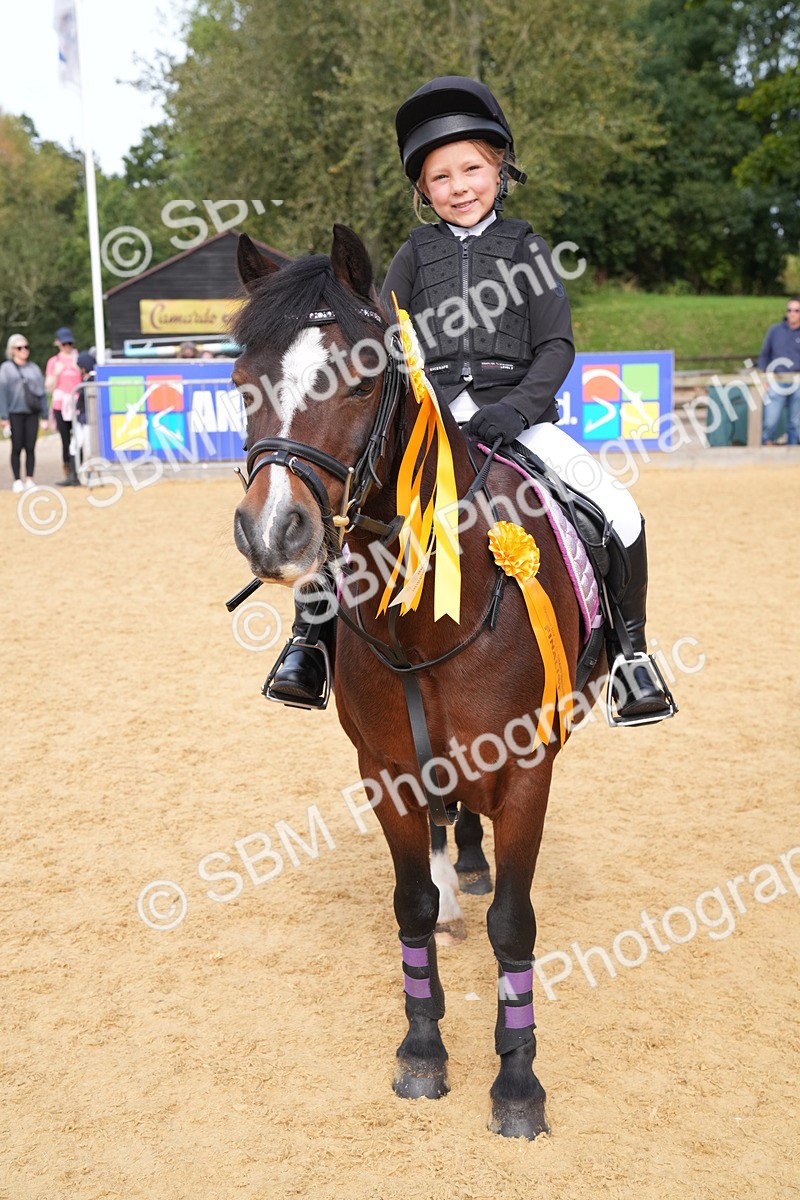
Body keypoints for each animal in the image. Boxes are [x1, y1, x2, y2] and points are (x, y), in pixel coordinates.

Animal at [229, 224, 604, 1139]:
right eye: (242, 381)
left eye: (364, 376)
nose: (271, 531)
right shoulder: (387, 770)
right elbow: (413, 909)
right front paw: (424, 1050)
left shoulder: (528, 768)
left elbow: (515, 922)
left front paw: (517, 1083)